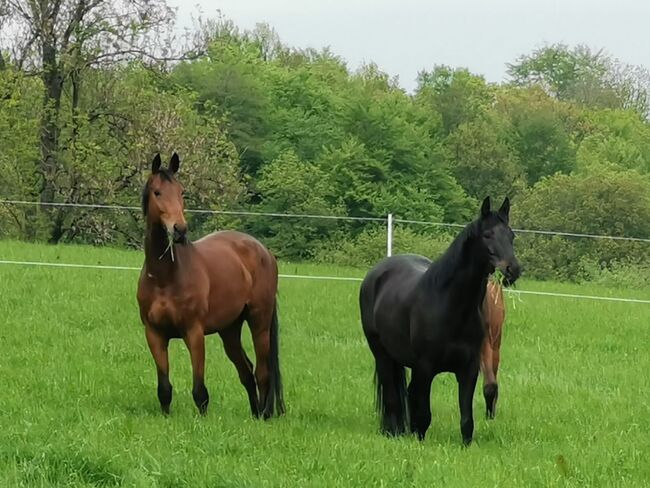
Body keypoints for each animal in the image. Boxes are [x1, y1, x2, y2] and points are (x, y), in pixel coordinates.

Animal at [136, 153, 284, 420]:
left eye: (182, 192)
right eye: (157, 192)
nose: (179, 229)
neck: (165, 277)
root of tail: (264, 251)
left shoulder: (193, 332)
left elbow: (199, 389)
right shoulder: (154, 334)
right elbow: (164, 387)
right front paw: (166, 416)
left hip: (259, 322)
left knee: (263, 372)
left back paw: (263, 416)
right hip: (230, 330)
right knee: (246, 371)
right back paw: (254, 414)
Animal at [356, 196, 520, 444]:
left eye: (511, 235)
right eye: (487, 234)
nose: (513, 269)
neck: (450, 305)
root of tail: (377, 272)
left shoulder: (469, 369)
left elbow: (466, 420)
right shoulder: (425, 368)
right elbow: (423, 415)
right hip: (382, 353)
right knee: (392, 396)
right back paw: (392, 432)